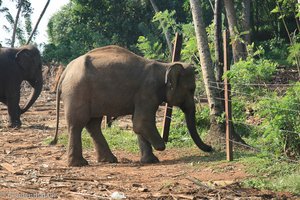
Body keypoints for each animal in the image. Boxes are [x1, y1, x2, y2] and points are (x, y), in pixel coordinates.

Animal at [51, 45, 211, 167]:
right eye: (191, 89)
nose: (211, 148)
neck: (164, 66)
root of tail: (65, 72)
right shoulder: (147, 92)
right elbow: (141, 123)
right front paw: (160, 147)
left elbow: (138, 124)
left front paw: (151, 161)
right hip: (77, 92)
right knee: (77, 124)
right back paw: (79, 164)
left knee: (93, 124)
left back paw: (109, 160)